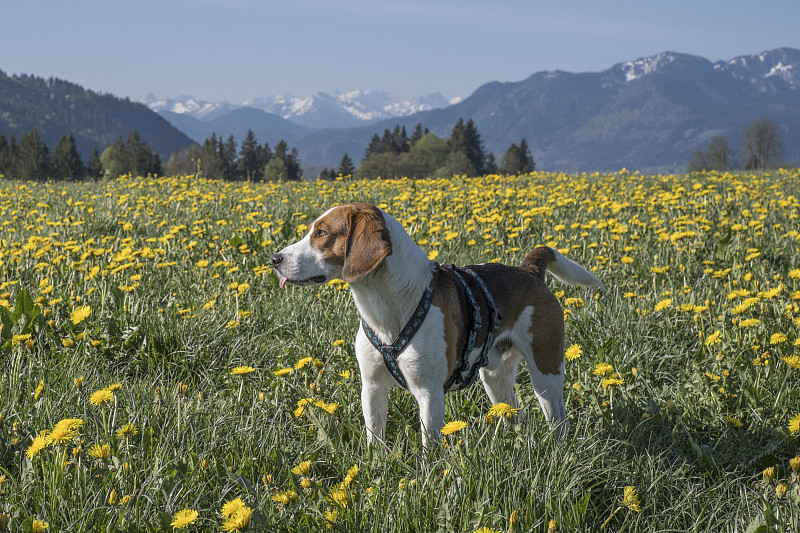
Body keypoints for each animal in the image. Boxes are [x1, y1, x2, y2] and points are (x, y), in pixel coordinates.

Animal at [272, 203, 604, 444]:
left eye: (321, 233)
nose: (274, 259)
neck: (386, 308)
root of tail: (529, 269)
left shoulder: (429, 393)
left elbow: (428, 447)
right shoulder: (372, 387)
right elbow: (374, 439)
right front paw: (374, 472)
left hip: (546, 372)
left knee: (557, 417)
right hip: (494, 376)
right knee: (516, 413)